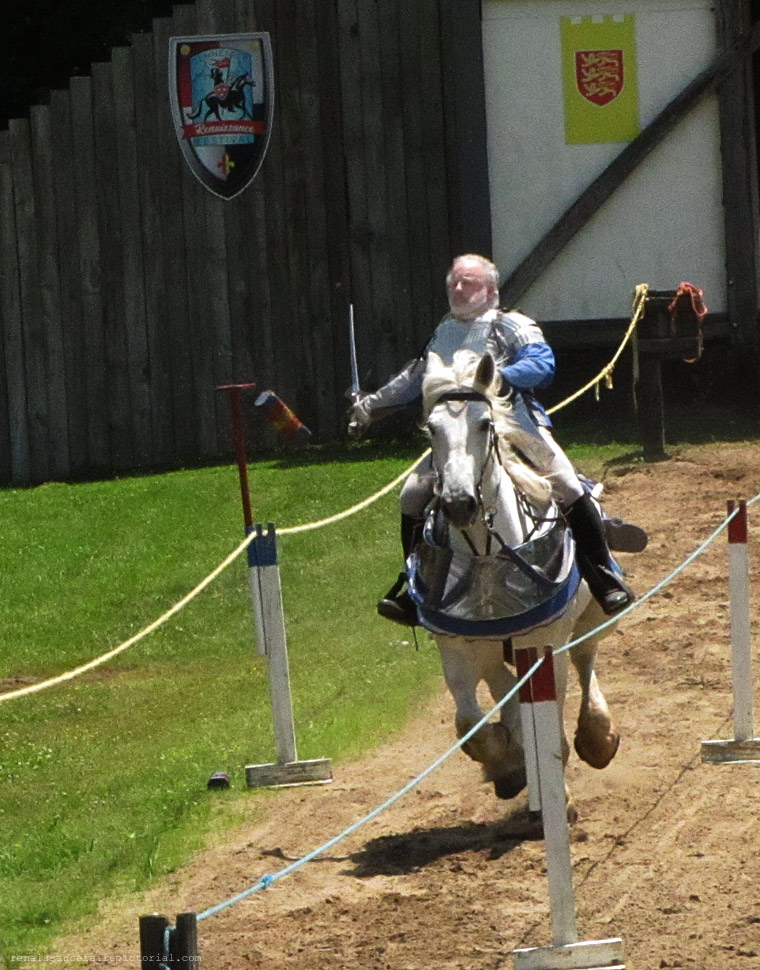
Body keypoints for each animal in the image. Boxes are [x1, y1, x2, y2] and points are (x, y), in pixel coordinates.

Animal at [412, 350, 620, 816]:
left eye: (484, 424)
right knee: (505, 689)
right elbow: (469, 722)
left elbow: (549, 720)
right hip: (493, 650)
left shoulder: (545, 646)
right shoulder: (456, 647)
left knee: (586, 659)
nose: (458, 503)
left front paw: (559, 792)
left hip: (592, 617)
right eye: (431, 428)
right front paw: (506, 765)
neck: (486, 553)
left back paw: (598, 736)